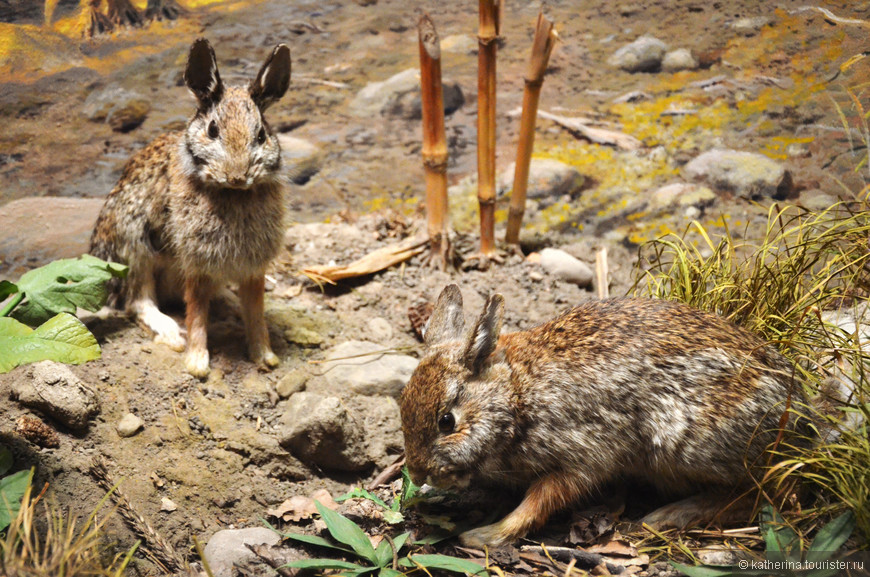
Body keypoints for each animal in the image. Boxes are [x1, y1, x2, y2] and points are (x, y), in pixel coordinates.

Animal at [91, 38, 292, 376]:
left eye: (262, 135)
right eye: (212, 130)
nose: (237, 176)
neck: (232, 195)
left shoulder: (252, 268)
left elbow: (255, 311)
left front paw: (265, 356)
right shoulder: (197, 263)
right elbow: (196, 313)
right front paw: (197, 363)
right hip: (133, 249)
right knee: (136, 301)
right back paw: (171, 332)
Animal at [402, 286, 812, 548]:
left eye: (446, 421)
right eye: (402, 403)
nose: (418, 473)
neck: (517, 395)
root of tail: (801, 423)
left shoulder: (583, 455)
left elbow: (541, 500)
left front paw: (485, 536)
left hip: (689, 444)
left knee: (762, 494)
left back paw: (667, 516)